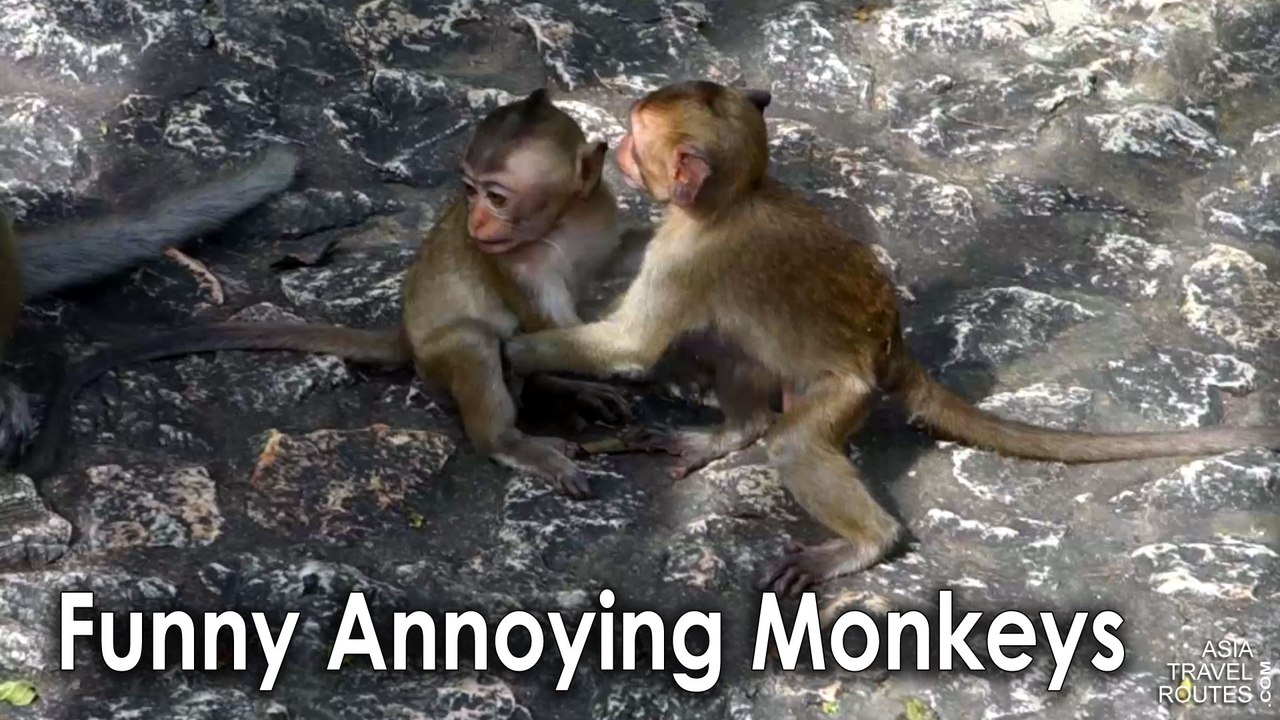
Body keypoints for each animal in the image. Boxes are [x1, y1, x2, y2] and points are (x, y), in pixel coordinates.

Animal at [501, 80, 1280, 595]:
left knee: (795, 441)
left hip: (844, 393)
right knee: (741, 347)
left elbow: (631, 344)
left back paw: (866, 542)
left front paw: (515, 353)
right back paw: (734, 433)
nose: (618, 150)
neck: (731, 201)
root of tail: (889, 347)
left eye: (639, 140)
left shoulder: (686, 253)